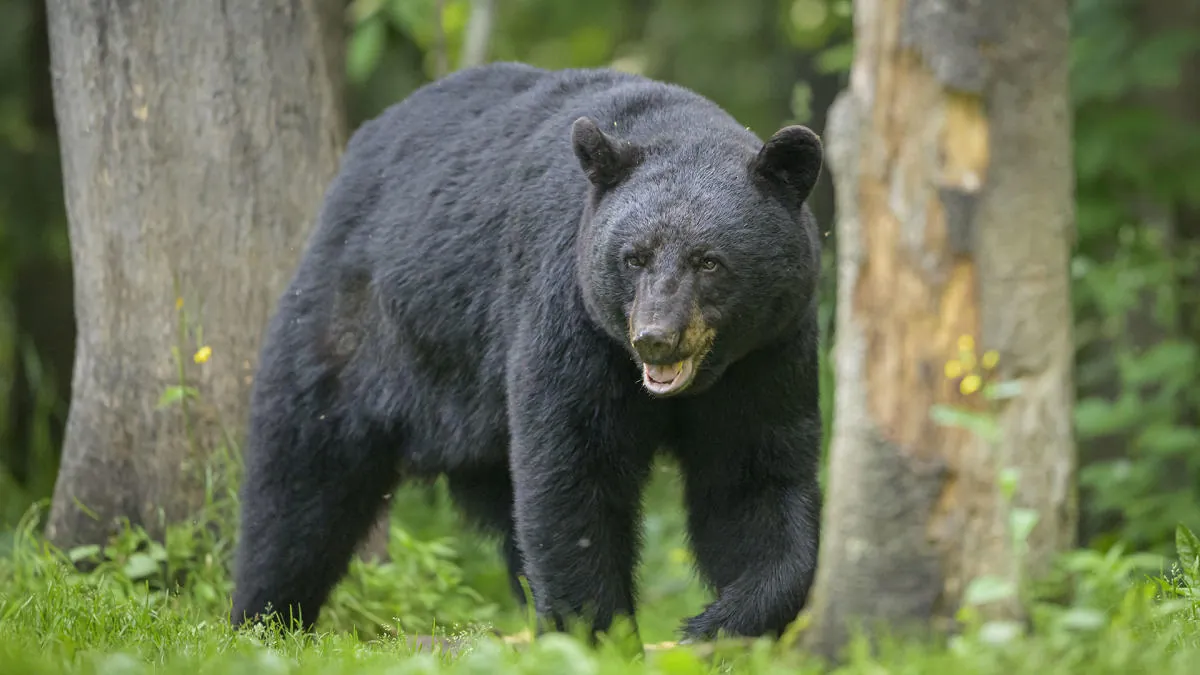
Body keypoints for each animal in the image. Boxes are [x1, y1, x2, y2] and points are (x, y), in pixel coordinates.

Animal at [228, 60, 820, 638]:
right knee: (301, 481)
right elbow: (572, 470)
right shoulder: (571, 315)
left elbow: (753, 478)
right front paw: (600, 633)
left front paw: (719, 622)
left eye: (709, 261)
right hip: (356, 329)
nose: (655, 337)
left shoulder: (768, 352)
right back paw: (264, 618)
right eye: (634, 257)